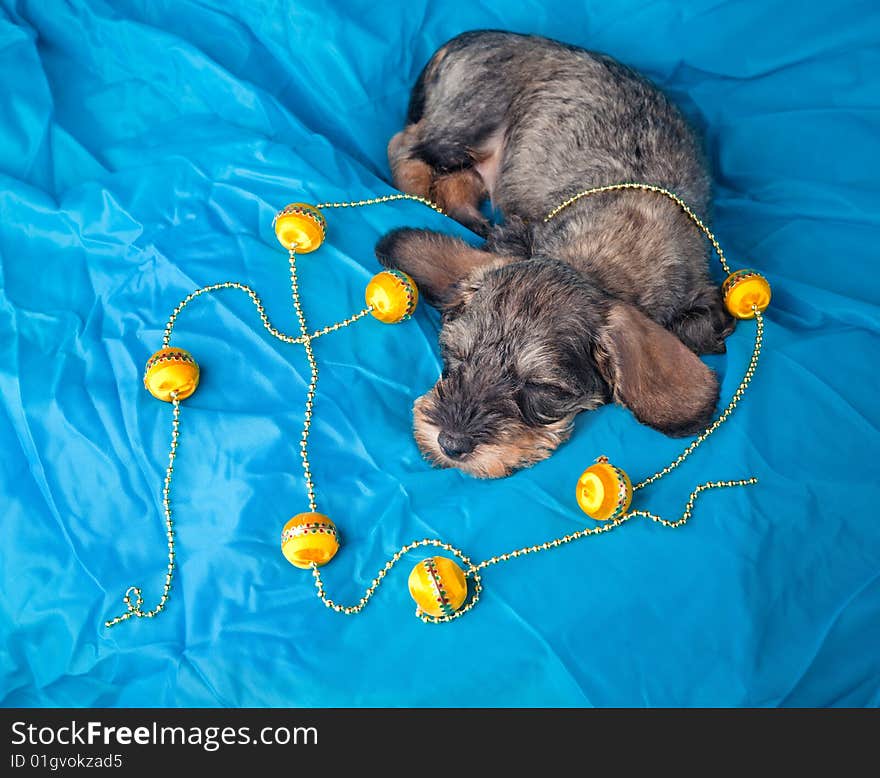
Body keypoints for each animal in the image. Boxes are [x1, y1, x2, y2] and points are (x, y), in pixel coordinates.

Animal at [374, 30, 732, 476]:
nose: (451, 443)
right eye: (456, 355)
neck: (604, 250)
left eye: (541, 386)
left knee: (451, 177)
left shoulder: (701, 299)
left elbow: (700, 328)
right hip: (463, 125)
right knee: (404, 145)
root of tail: (469, 37)